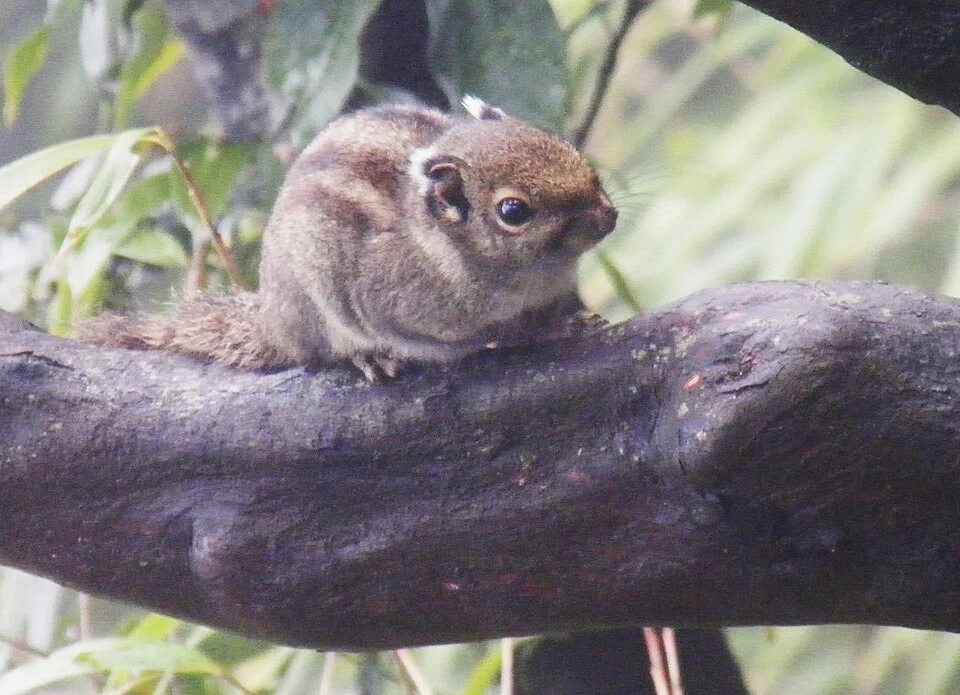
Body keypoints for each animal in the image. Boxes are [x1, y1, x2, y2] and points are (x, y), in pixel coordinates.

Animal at [82, 97, 618, 380]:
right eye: (513, 211)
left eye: (556, 140)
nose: (609, 216)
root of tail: (273, 321)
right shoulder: (396, 300)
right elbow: (479, 335)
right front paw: (533, 333)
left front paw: (576, 317)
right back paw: (367, 355)